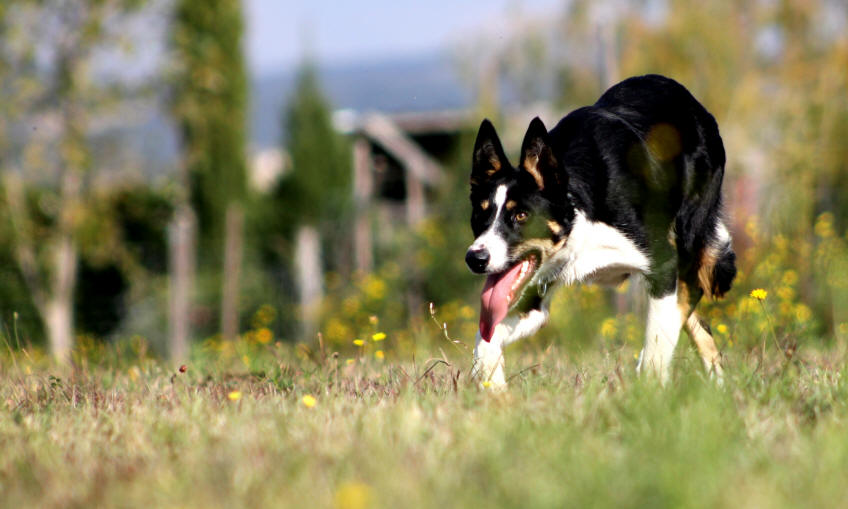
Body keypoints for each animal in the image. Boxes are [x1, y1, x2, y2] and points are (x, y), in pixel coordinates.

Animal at [464, 74, 736, 384]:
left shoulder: (662, 263)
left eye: (521, 215)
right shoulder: (536, 292)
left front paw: (650, 385)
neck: (579, 207)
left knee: (685, 300)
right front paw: (492, 384)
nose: (475, 258)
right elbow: (486, 336)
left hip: (689, 240)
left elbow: (658, 338)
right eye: (480, 214)